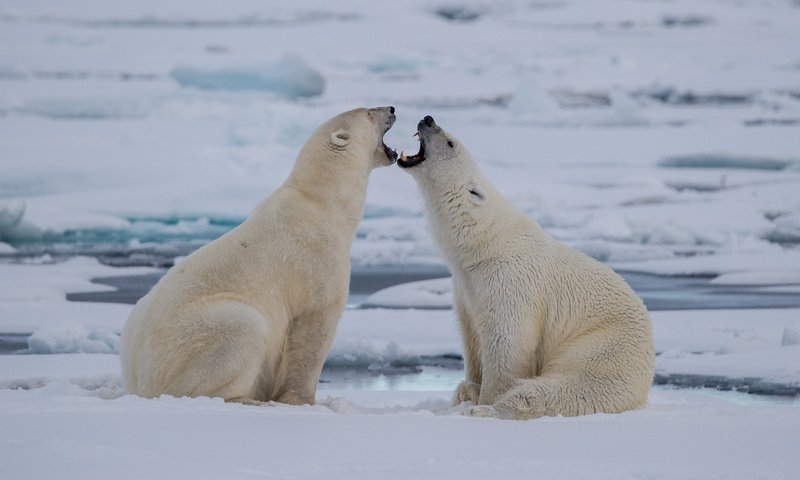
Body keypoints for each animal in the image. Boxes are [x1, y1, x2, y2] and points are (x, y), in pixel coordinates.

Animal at [121, 106, 396, 404]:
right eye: (369, 113)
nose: (391, 109)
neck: (322, 203)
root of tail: (141, 383)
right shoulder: (318, 260)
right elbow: (314, 329)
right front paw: (303, 400)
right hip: (196, 338)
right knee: (243, 330)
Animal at [400, 116, 656, 420]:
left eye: (450, 142)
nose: (428, 119)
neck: (484, 243)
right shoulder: (464, 287)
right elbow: (471, 339)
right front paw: (470, 388)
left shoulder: (510, 279)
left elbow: (508, 343)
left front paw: (484, 398)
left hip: (603, 352)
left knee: (559, 391)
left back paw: (486, 410)